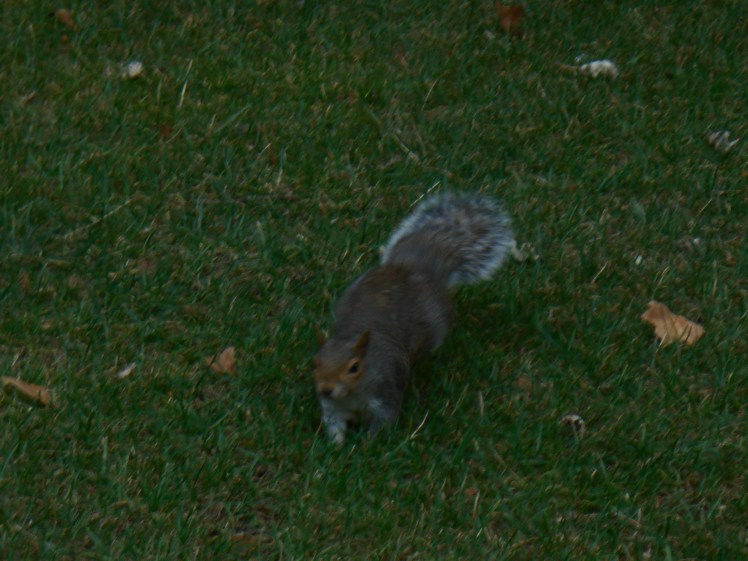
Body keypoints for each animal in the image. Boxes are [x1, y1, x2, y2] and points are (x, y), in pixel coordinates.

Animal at [313, 192, 514, 444]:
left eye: (354, 367)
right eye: (315, 362)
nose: (326, 389)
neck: (351, 395)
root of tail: (413, 268)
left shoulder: (385, 395)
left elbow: (383, 423)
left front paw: (368, 444)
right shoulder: (333, 409)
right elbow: (335, 426)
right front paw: (337, 445)